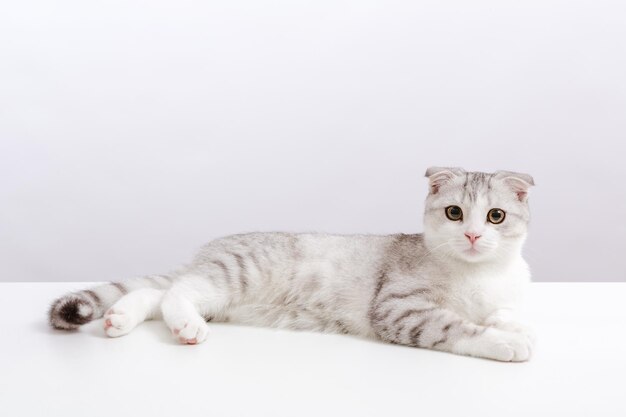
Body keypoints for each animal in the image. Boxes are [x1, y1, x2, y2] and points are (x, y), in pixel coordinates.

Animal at [50, 166, 536, 360]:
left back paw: (120, 319)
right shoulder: (400, 308)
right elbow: (457, 327)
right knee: (176, 291)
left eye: (495, 216)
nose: (473, 235)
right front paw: (505, 342)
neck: (479, 273)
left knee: (157, 291)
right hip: (235, 275)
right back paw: (186, 326)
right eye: (455, 213)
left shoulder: (508, 294)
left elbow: (507, 312)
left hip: (221, 294)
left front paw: (509, 325)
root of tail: (209, 250)